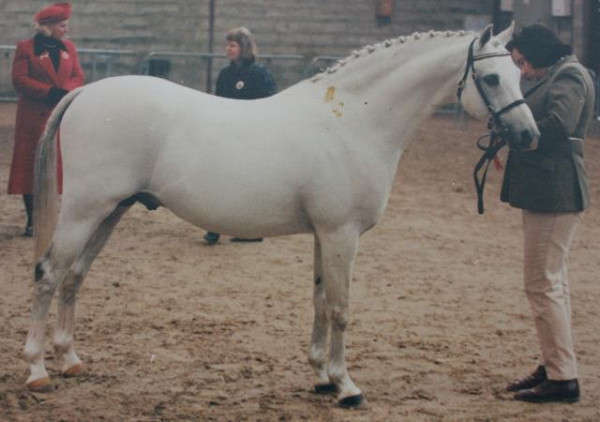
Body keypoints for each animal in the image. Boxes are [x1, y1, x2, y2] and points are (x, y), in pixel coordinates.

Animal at [25, 24, 536, 408]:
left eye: (518, 70)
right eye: (493, 78)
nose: (529, 136)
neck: (353, 121)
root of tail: (85, 92)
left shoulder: (324, 234)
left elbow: (319, 300)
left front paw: (321, 376)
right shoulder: (342, 234)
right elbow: (341, 308)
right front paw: (346, 386)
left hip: (111, 211)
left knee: (74, 276)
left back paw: (70, 360)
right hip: (85, 210)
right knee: (49, 274)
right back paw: (36, 370)